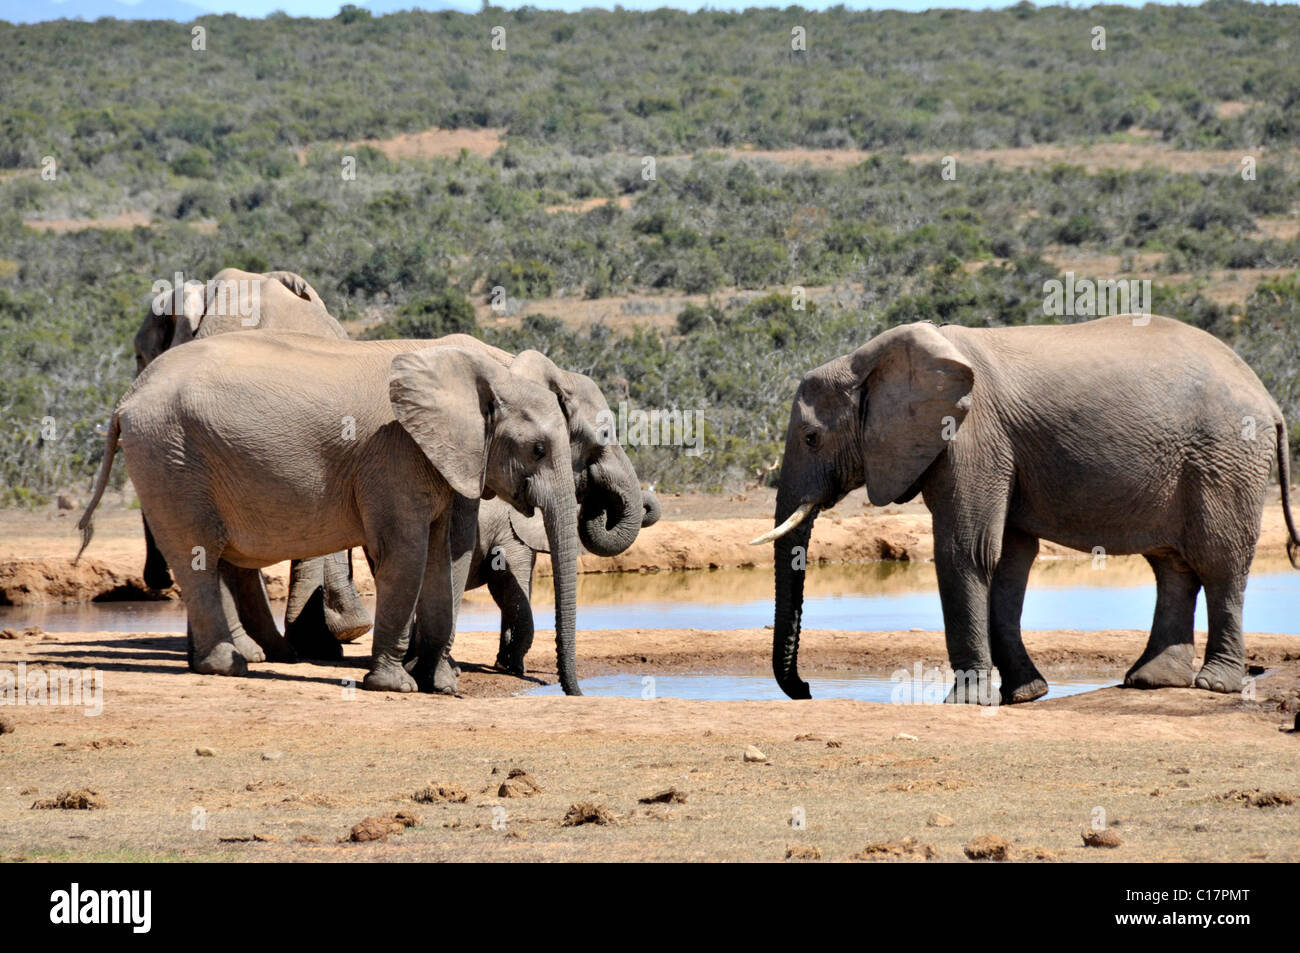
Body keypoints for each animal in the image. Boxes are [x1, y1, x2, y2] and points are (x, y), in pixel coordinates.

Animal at [78, 332, 587, 691]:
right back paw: (229, 666)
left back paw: (248, 659)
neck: (480, 374)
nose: (572, 691)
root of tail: (127, 397)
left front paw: (440, 685)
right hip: (171, 456)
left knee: (213, 555)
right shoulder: (394, 451)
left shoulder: (452, 456)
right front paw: (396, 686)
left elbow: (449, 552)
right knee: (196, 552)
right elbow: (406, 550)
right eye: (538, 449)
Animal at [759, 312, 1300, 696]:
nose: (806, 689)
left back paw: (1213, 685)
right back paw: (1151, 681)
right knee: (1172, 563)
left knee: (1220, 560)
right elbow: (1008, 559)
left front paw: (967, 702)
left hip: (1224, 454)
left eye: (811, 437)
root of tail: (1269, 401)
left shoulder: (972, 437)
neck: (870, 359)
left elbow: (966, 550)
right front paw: (1026, 695)